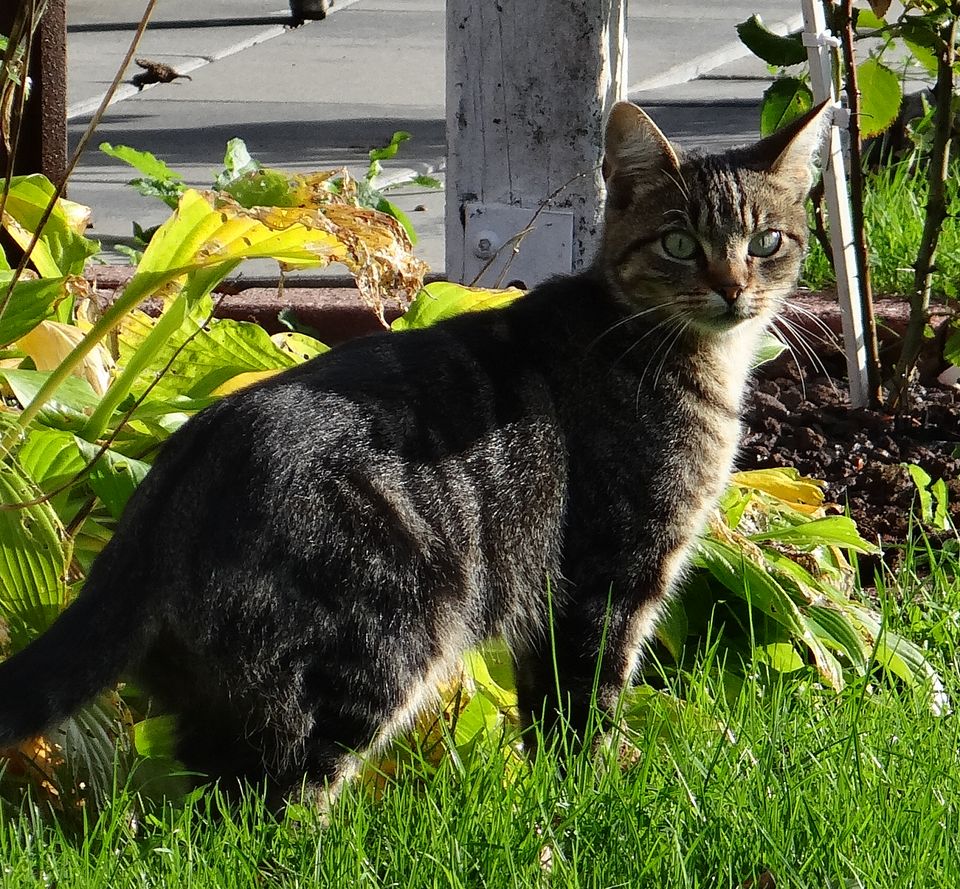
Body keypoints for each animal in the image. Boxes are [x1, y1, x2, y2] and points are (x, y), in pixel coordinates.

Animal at [0, 100, 824, 800]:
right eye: (681, 242)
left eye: (766, 241)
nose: (733, 288)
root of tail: (167, 489)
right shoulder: (607, 575)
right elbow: (586, 703)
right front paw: (593, 798)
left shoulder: (547, 608)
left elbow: (547, 717)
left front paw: (560, 797)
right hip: (375, 646)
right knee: (264, 802)